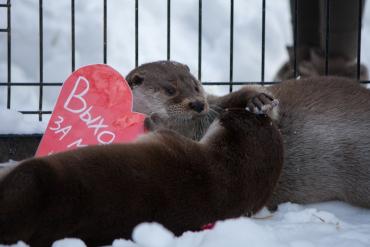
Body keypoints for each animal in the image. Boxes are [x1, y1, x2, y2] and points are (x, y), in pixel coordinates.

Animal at [126, 60, 370, 208]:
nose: (198, 103)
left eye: (195, 85)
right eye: (170, 90)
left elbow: (240, 96)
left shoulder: (218, 104)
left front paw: (259, 100)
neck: (194, 129)